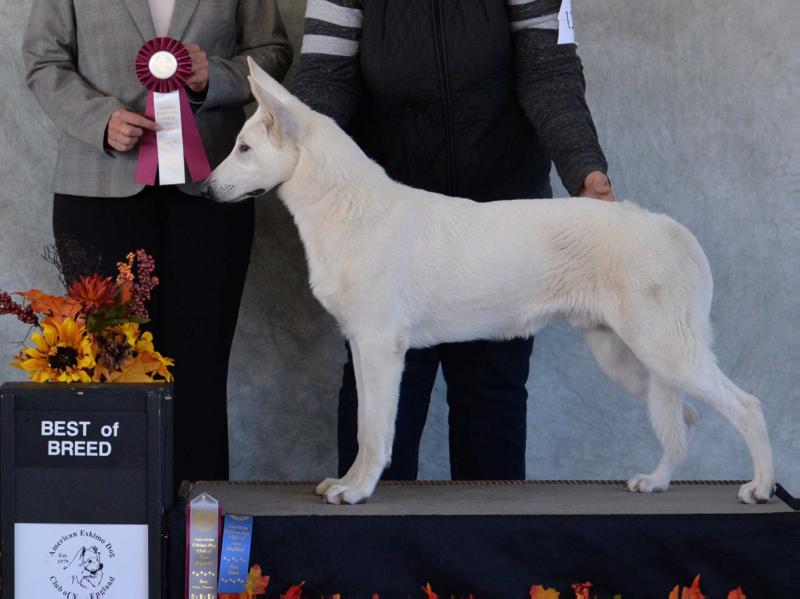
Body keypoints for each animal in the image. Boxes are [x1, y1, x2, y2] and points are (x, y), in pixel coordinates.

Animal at [206, 58, 776, 506]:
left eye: (244, 149)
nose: (205, 189)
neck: (344, 207)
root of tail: (674, 230)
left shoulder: (381, 346)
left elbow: (374, 432)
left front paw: (358, 490)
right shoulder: (363, 348)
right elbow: (365, 424)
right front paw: (347, 482)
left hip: (665, 351)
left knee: (746, 407)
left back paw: (760, 488)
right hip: (624, 358)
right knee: (685, 420)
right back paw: (656, 482)